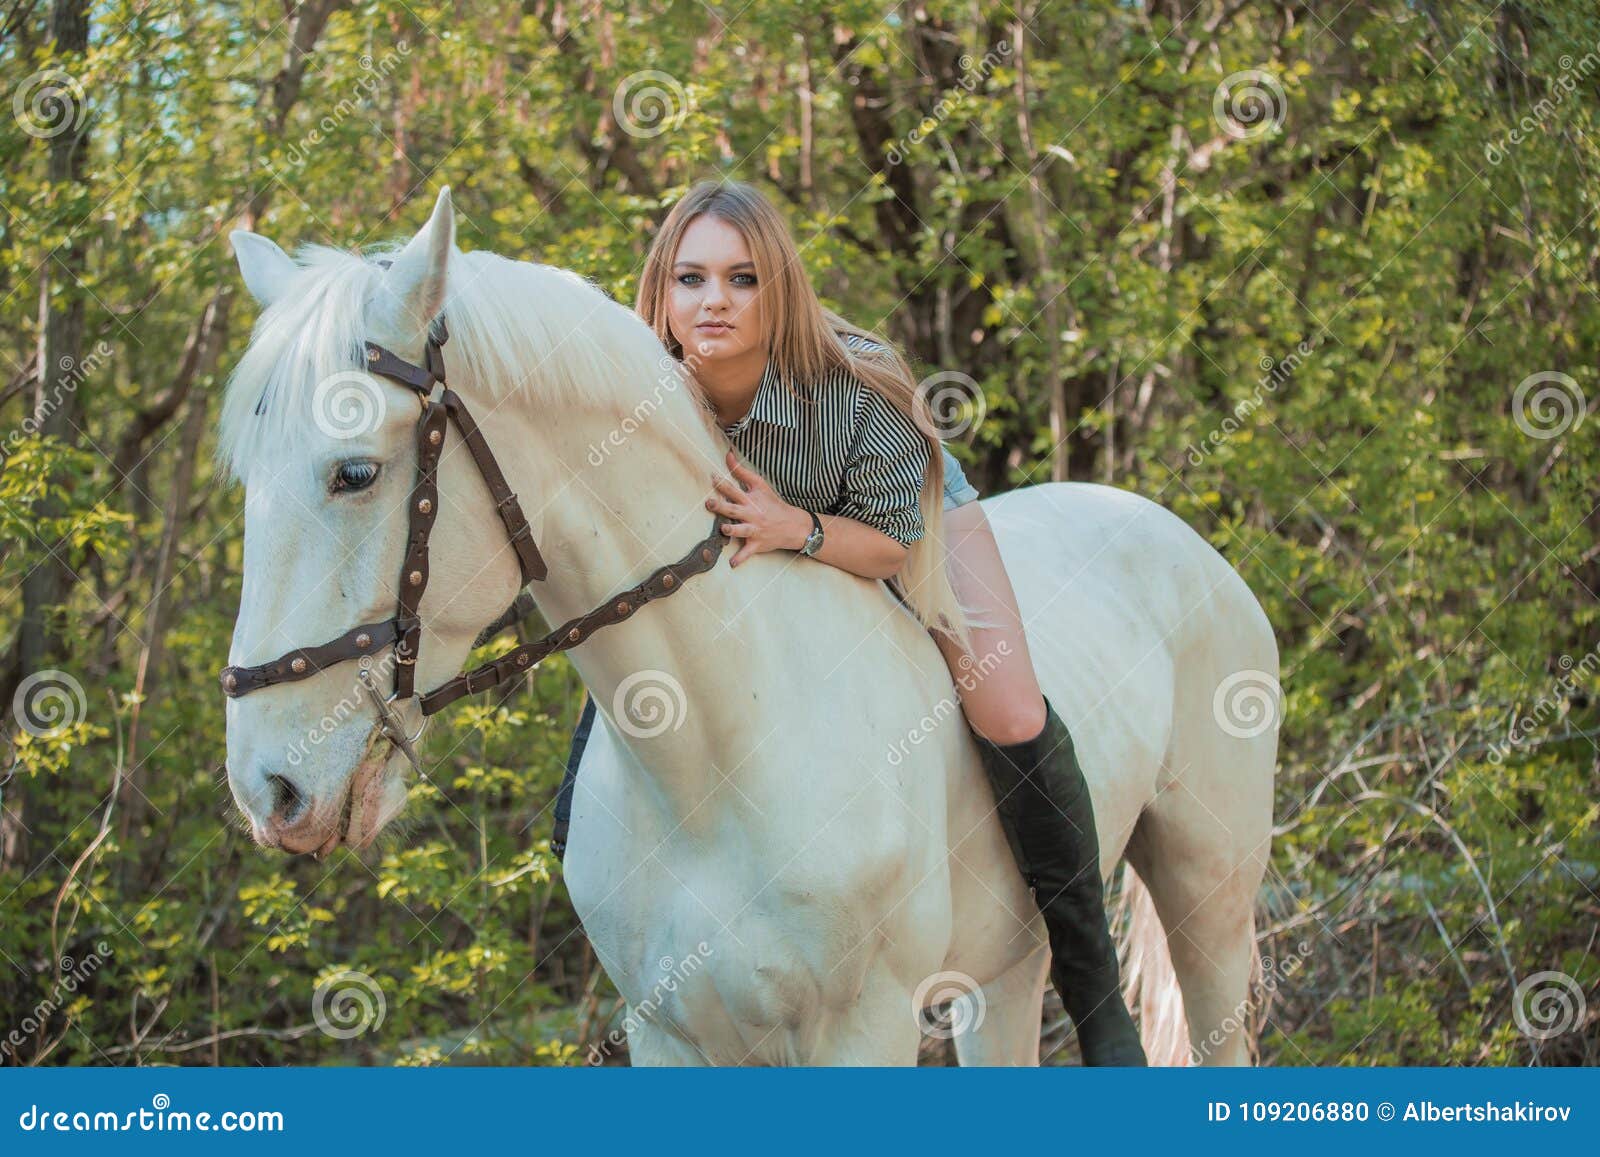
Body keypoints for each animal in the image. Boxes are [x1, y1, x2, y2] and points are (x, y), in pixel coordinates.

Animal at [222, 190, 1273, 1068]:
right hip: (1003, 972)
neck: (713, 753)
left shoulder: (865, 1030)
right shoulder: (674, 1036)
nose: (270, 791)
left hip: (1207, 897)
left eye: (354, 473)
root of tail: (1180, 537)